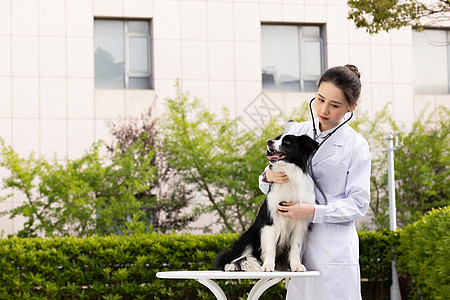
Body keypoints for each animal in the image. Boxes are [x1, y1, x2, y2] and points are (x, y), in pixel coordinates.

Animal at [214, 134, 316, 272]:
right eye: (277, 138)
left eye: (287, 142)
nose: (269, 141)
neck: (288, 176)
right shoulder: (270, 222)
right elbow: (270, 248)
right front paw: (267, 265)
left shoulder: (299, 223)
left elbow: (296, 247)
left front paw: (296, 265)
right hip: (249, 236)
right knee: (231, 256)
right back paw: (231, 265)